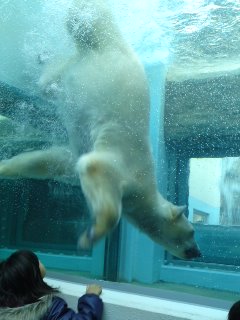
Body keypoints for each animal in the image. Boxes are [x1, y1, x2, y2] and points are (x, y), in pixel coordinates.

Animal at [0, 0, 201, 260]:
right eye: (192, 231)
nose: (198, 252)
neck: (145, 189)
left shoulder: (73, 162)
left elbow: (54, 161)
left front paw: (4, 167)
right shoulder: (129, 165)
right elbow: (97, 166)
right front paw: (91, 235)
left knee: (53, 77)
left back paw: (44, 61)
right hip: (103, 40)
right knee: (87, 19)